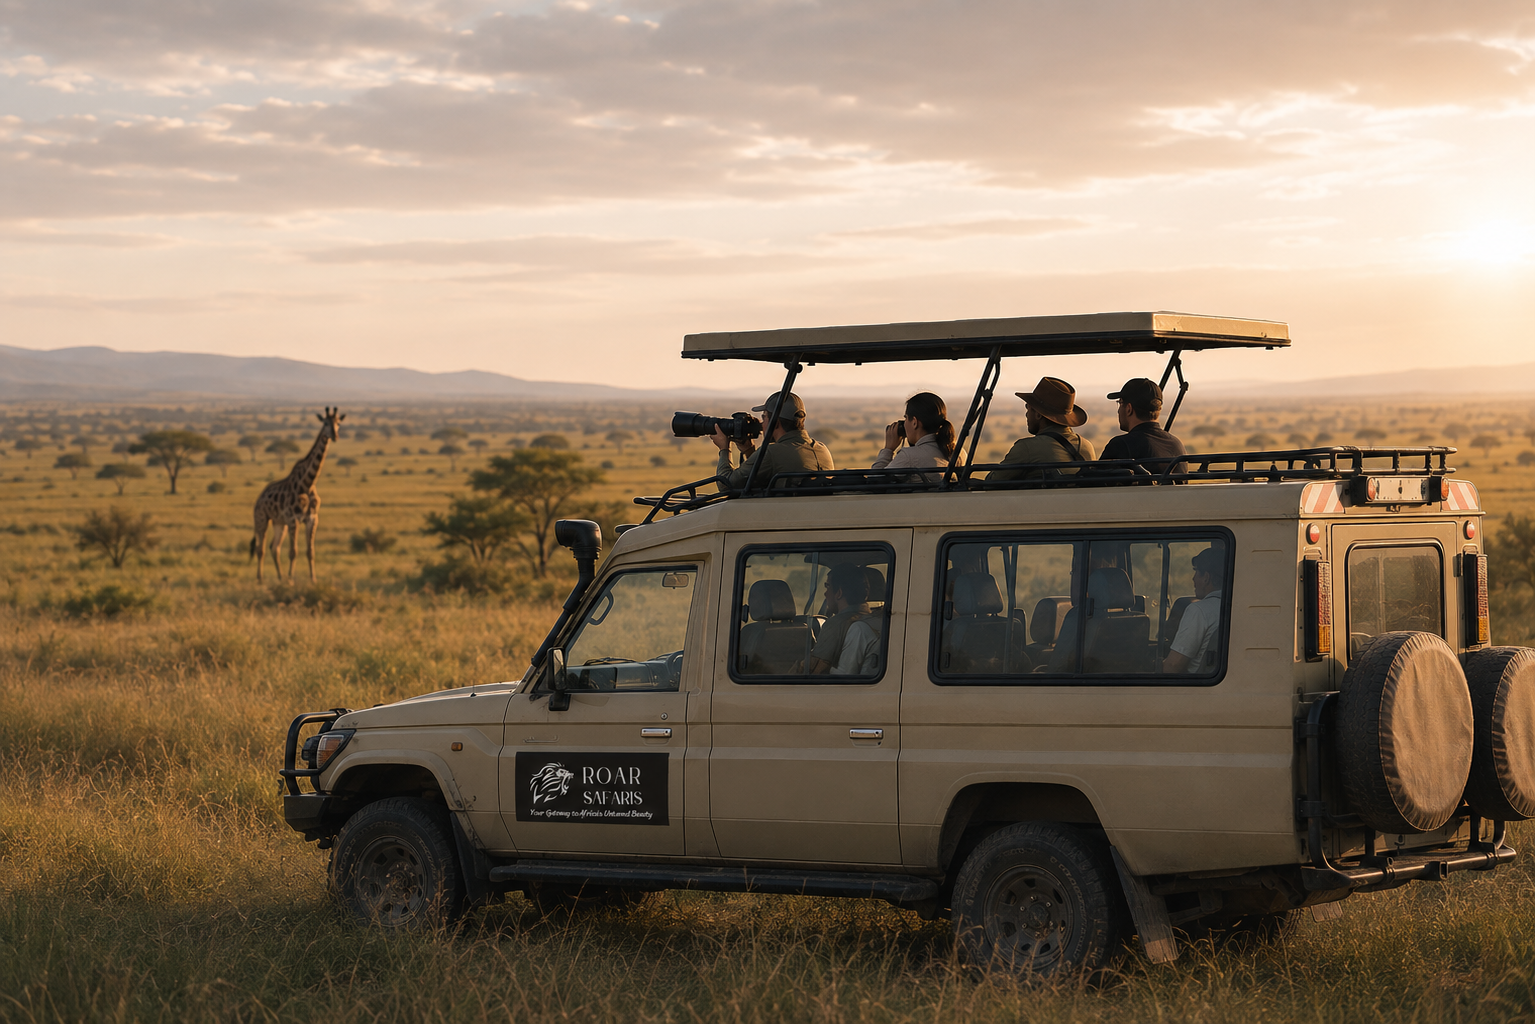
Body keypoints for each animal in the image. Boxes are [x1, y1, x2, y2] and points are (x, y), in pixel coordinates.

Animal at [250, 407, 345, 583]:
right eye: (325, 423)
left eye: (338, 423)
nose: (335, 436)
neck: (307, 484)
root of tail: (259, 499)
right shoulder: (293, 519)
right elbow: (293, 552)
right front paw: (291, 580)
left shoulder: (312, 519)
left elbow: (310, 551)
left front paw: (313, 580)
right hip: (261, 519)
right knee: (261, 549)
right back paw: (260, 580)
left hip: (279, 523)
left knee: (274, 547)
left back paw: (280, 578)